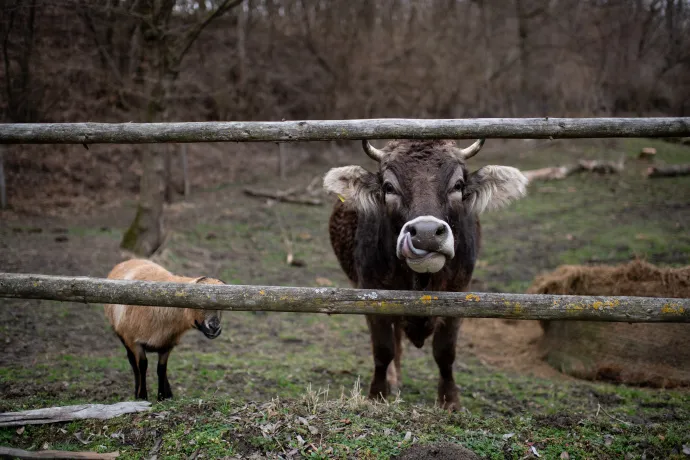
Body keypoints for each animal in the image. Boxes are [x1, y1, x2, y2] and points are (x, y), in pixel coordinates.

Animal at [103, 260, 222, 400]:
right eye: (198, 303)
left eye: (222, 306)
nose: (214, 327)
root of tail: (129, 261)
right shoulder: (134, 342)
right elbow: (142, 365)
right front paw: (142, 396)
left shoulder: (167, 345)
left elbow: (161, 368)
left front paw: (162, 397)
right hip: (123, 336)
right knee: (133, 363)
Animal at [322, 137, 528, 410]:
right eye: (388, 187)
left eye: (458, 185)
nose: (426, 233)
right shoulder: (370, 293)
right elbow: (383, 350)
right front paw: (377, 394)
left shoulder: (460, 294)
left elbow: (445, 352)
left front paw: (449, 400)